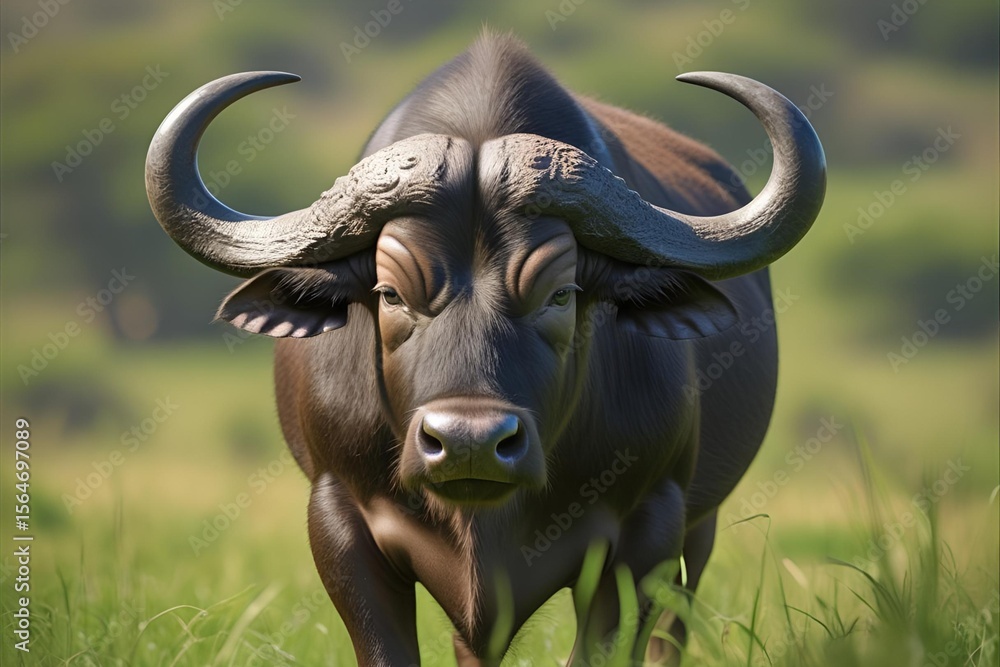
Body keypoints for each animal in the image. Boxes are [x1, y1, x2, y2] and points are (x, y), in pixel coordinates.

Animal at [146, 33, 824, 666]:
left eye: (562, 294)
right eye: (389, 293)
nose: (468, 442)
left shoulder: (653, 523)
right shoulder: (338, 518)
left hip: (699, 530)